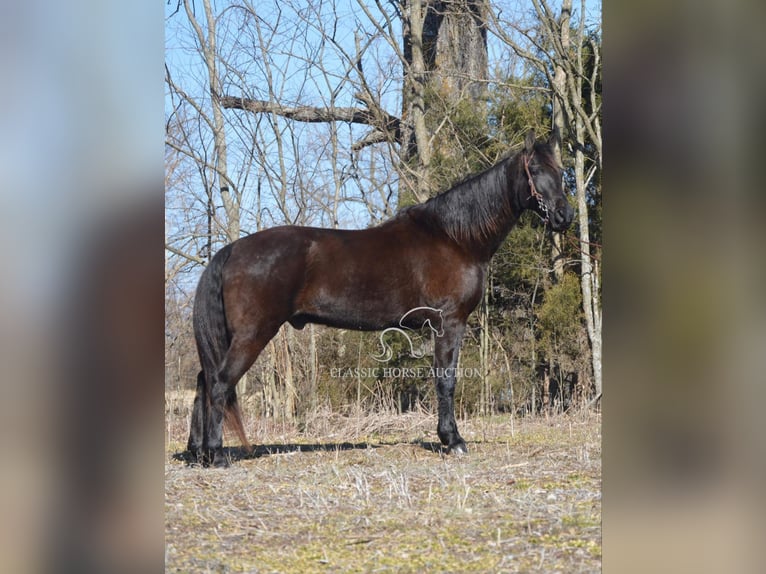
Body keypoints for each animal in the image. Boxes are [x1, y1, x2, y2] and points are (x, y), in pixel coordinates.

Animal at [186, 129, 572, 468]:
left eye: (560, 170)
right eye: (535, 170)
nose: (564, 216)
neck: (454, 238)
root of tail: (233, 249)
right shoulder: (450, 323)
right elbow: (446, 380)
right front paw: (453, 441)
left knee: (204, 380)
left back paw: (197, 453)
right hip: (252, 334)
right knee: (219, 383)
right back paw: (217, 456)